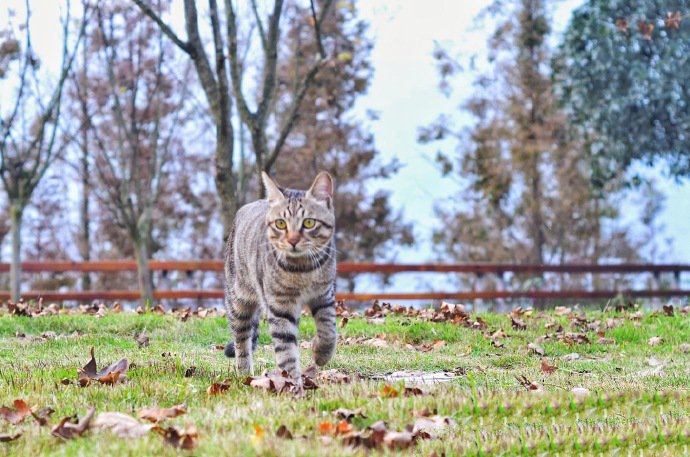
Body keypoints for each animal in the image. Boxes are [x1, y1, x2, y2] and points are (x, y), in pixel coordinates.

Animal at [223, 170, 336, 378]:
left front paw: (321, 353)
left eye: (309, 223)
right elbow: (286, 350)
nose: (292, 240)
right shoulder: (279, 305)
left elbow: (329, 330)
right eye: (281, 224)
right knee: (241, 341)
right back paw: (245, 375)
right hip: (238, 301)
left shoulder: (324, 296)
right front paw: (292, 382)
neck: (302, 269)